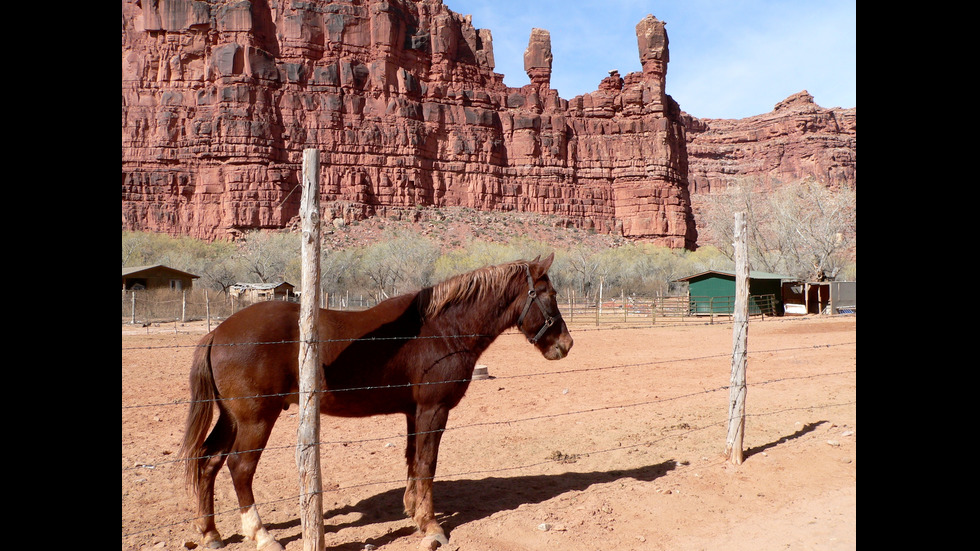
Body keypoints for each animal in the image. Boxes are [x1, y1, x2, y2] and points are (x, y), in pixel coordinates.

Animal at [180, 254, 572, 551]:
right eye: (548, 293)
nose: (565, 344)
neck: (442, 329)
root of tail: (218, 332)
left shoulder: (415, 412)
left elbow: (414, 460)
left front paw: (414, 512)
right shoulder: (433, 410)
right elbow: (427, 463)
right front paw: (432, 528)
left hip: (232, 418)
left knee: (208, 461)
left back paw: (210, 533)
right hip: (257, 418)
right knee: (239, 467)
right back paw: (262, 536)